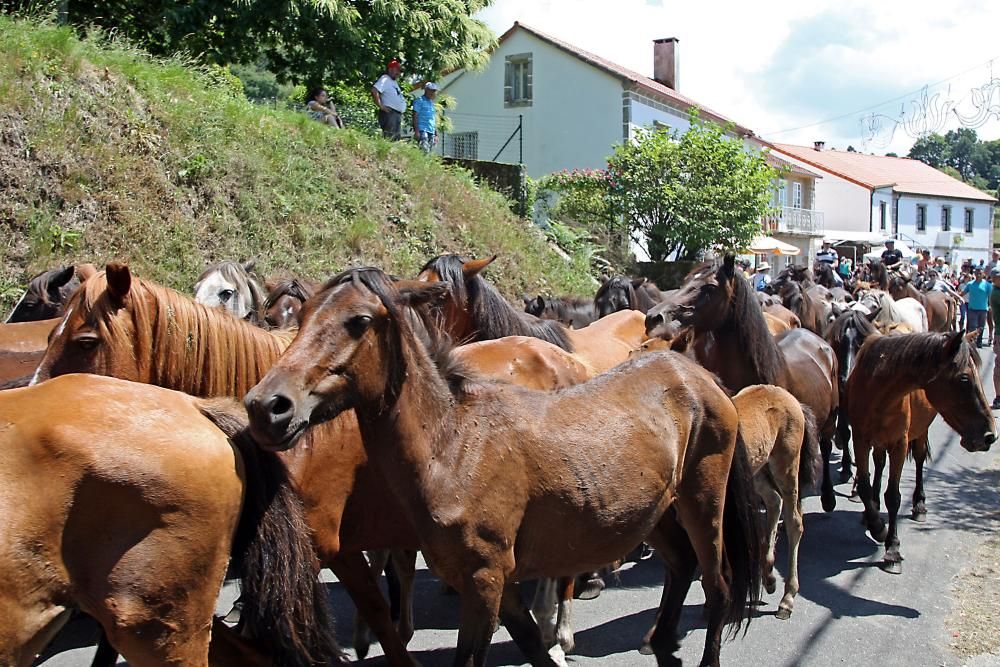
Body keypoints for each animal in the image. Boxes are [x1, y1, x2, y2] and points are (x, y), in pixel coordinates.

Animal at [246, 268, 760, 667]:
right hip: (653, 514)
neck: (454, 446)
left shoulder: (483, 584)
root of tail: (699, 377)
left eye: (359, 321)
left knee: (717, 585)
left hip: (702, 502)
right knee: (681, 565)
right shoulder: (499, 587)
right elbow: (532, 644)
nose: (268, 407)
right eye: (300, 315)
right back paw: (662, 642)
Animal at [644, 256, 840, 512]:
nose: (653, 318)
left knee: (825, 448)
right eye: (685, 281)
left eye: (709, 288)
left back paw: (828, 497)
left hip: (830, 420)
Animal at [848, 332, 996, 572]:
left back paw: (919, 505)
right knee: (879, 463)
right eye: (964, 378)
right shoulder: (860, 440)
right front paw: (877, 525)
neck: (877, 392)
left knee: (918, 459)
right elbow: (864, 486)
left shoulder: (899, 444)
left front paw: (892, 548)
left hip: (919, 433)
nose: (990, 435)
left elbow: (894, 497)